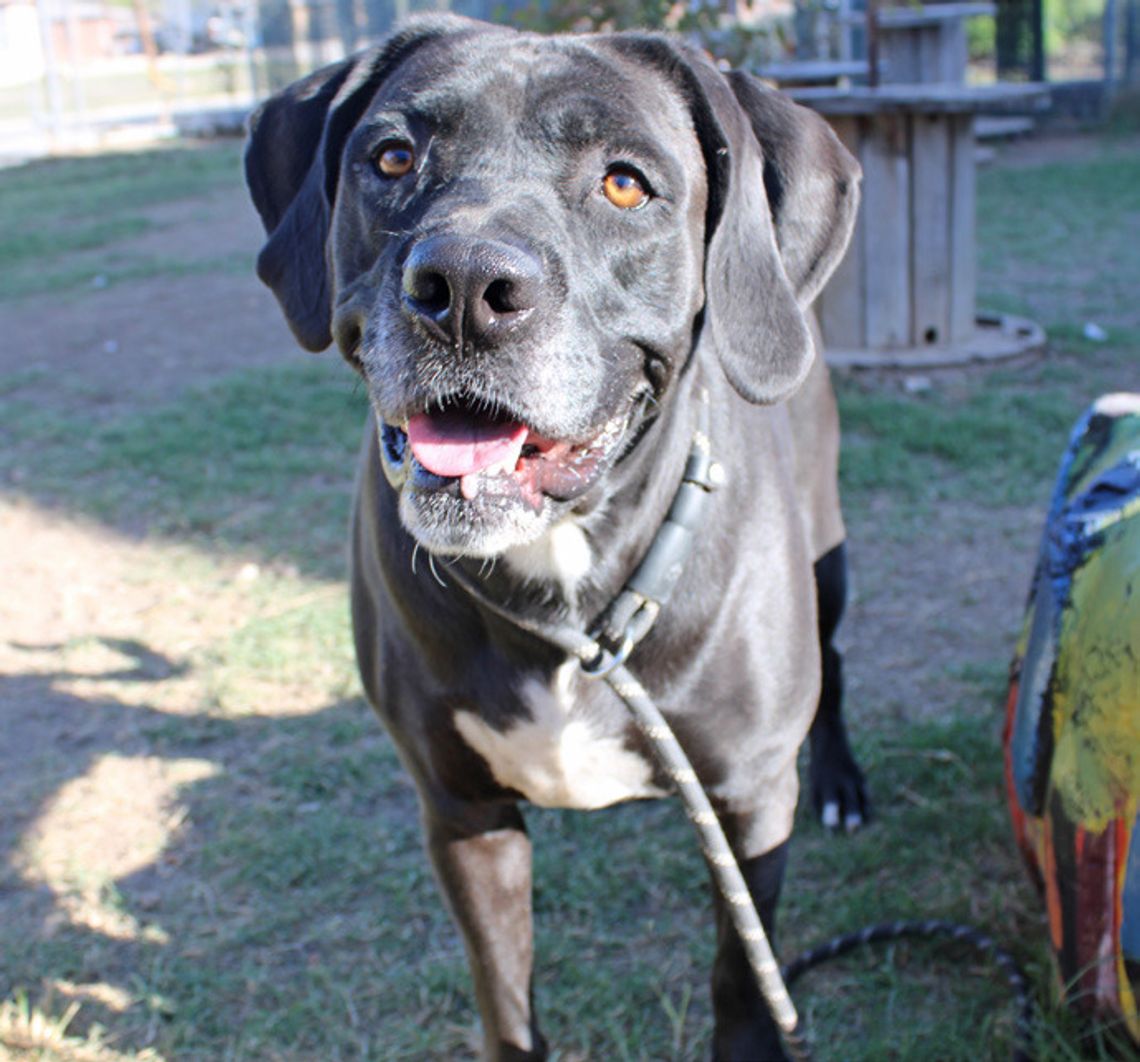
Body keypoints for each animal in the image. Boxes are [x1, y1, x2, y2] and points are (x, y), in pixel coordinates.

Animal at [249, 14, 866, 1052]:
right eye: (392, 156)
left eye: (624, 182)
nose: (462, 285)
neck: (569, 585)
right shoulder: (462, 809)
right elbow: (505, 1002)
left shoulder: (748, 808)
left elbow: (744, 982)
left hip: (829, 557)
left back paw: (844, 782)